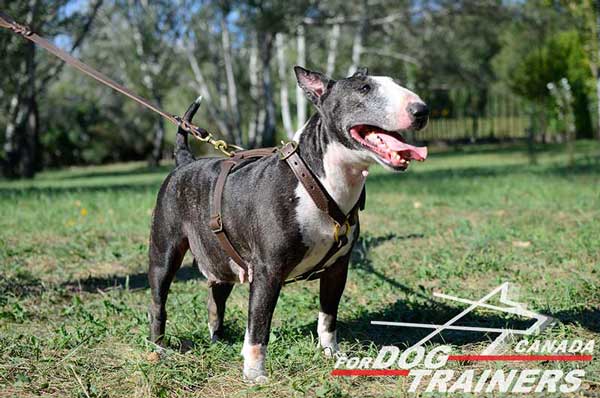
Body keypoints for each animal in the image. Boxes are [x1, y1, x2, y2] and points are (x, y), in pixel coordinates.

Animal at [150, 66, 432, 382]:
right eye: (364, 89)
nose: (422, 110)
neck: (319, 183)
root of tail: (185, 162)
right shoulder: (267, 270)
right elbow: (259, 324)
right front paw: (254, 373)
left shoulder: (338, 268)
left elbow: (328, 317)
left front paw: (331, 354)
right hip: (164, 254)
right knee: (158, 303)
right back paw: (158, 348)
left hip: (222, 259)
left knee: (216, 299)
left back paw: (218, 341)